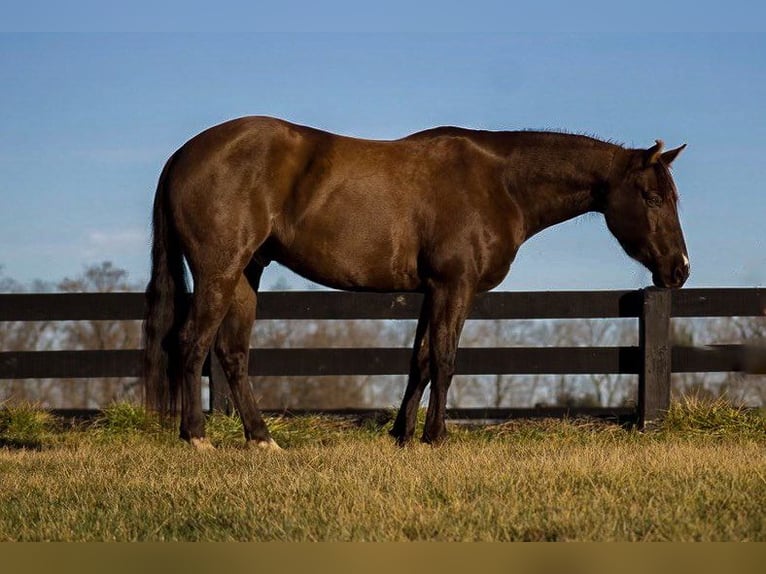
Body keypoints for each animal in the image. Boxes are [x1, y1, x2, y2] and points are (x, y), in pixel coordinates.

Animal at [142, 116, 688, 450]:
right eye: (652, 196)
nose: (680, 269)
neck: (500, 183)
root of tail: (183, 154)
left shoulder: (432, 291)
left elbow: (419, 360)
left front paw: (402, 435)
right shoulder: (454, 286)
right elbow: (444, 359)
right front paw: (435, 436)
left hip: (246, 273)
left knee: (232, 354)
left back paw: (261, 439)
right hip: (219, 270)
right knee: (192, 343)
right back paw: (197, 437)